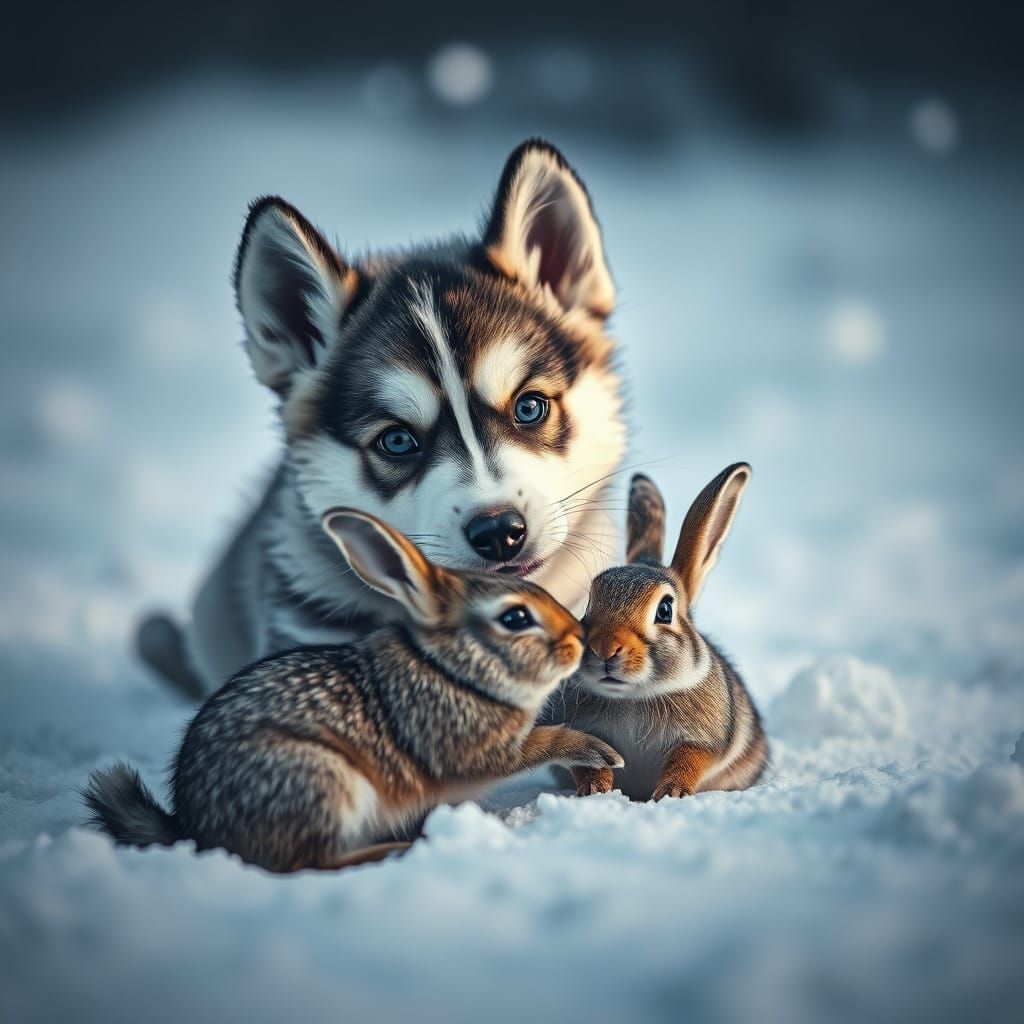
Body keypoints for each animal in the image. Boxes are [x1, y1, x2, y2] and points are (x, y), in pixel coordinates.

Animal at [83, 509, 623, 872]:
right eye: (514, 618)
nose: (578, 640)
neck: (453, 668)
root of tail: (196, 829)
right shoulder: (471, 746)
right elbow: (544, 741)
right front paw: (600, 752)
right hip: (323, 780)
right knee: (308, 862)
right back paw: (397, 850)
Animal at [548, 463, 768, 801]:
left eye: (664, 610)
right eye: (589, 606)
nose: (605, 649)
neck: (633, 697)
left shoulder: (702, 740)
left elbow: (688, 759)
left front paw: (671, 793)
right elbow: (588, 761)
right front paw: (596, 791)